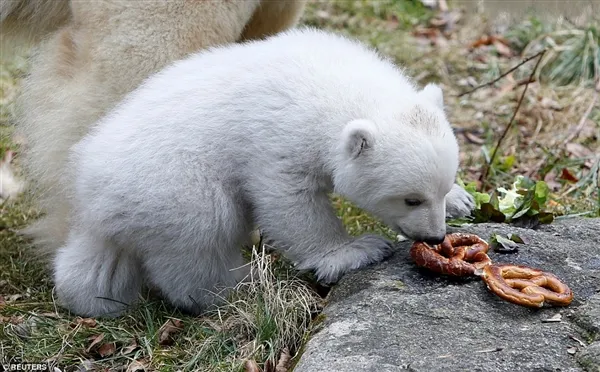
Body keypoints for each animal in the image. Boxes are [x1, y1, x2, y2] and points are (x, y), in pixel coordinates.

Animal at [58, 27, 476, 316]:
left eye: (440, 189)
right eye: (410, 199)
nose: (436, 237)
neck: (332, 81)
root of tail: (88, 194)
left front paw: (463, 200)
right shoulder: (279, 137)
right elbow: (289, 200)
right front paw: (355, 252)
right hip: (168, 179)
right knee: (202, 228)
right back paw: (237, 286)